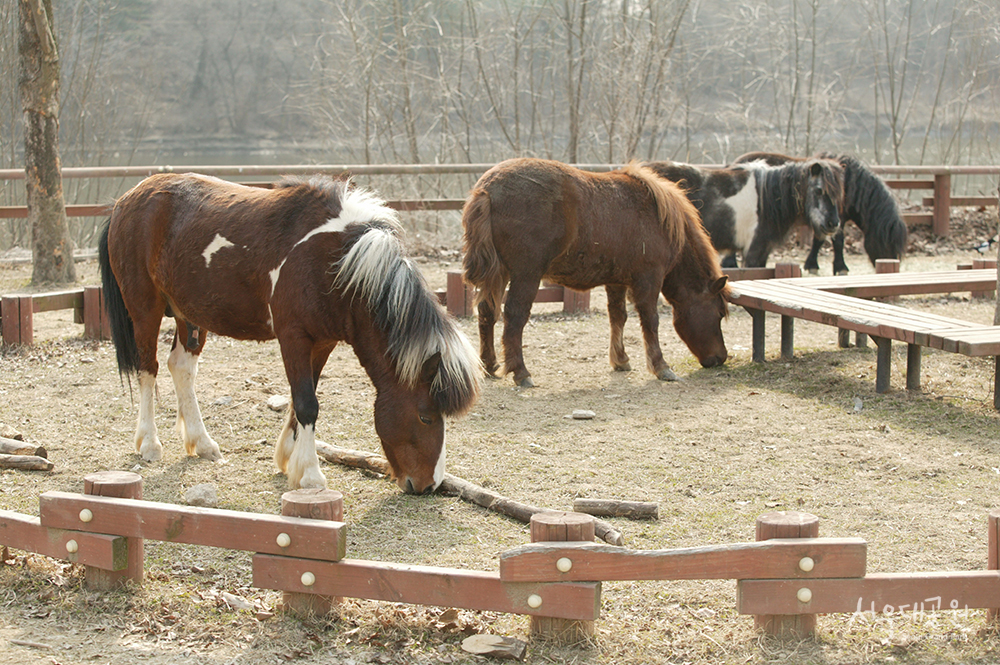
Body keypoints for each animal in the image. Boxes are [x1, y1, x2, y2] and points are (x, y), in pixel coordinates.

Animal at [99, 171, 482, 492]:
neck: (335, 264)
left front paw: (288, 459)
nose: (430, 486)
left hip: (189, 315)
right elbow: (307, 403)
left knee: (181, 368)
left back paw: (202, 442)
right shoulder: (293, 337)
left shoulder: (323, 342)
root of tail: (126, 199)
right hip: (145, 310)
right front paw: (310, 474)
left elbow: (303, 398)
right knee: (148, 369)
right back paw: (149, 443)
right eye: (426, 416)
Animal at [460, 158, 728, 386]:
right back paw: (521, 372)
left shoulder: (617, 280)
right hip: (526, 274)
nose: (722, 357)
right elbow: (650, 321)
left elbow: (618, 317)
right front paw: (661, 366)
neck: (661, 221)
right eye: (719, 313)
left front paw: (620, 359)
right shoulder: (648, 279)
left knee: (487, 312)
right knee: (514, 317)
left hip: (500, 273)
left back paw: (489, 364)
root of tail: (487, 189)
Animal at [648, 158, 844, 268]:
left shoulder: (763, 252)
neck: (768, 200)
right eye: (819, 190)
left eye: (839, 194)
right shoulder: (753, 252)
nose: (833, 223)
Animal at [736, 152, 908, 274]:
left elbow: (821, 240)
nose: (892, 269)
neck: (849, 184)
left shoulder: (830, 220)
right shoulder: (833, 219)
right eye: (887, 244)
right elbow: (833, 241)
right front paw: (838, 267)